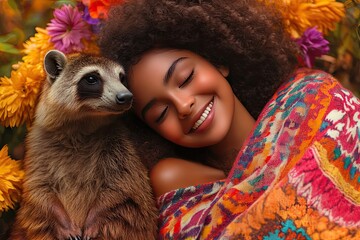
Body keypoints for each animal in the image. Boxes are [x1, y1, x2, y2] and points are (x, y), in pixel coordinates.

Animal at [8, 49, 157, 239]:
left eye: (122, 78)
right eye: (92, 79)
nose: (126, 96)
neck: (83, 122)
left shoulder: (120, 145)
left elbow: (124, 185)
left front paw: (95, 216)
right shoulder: (37, 143)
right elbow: (38, 188)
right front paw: (62, 220)